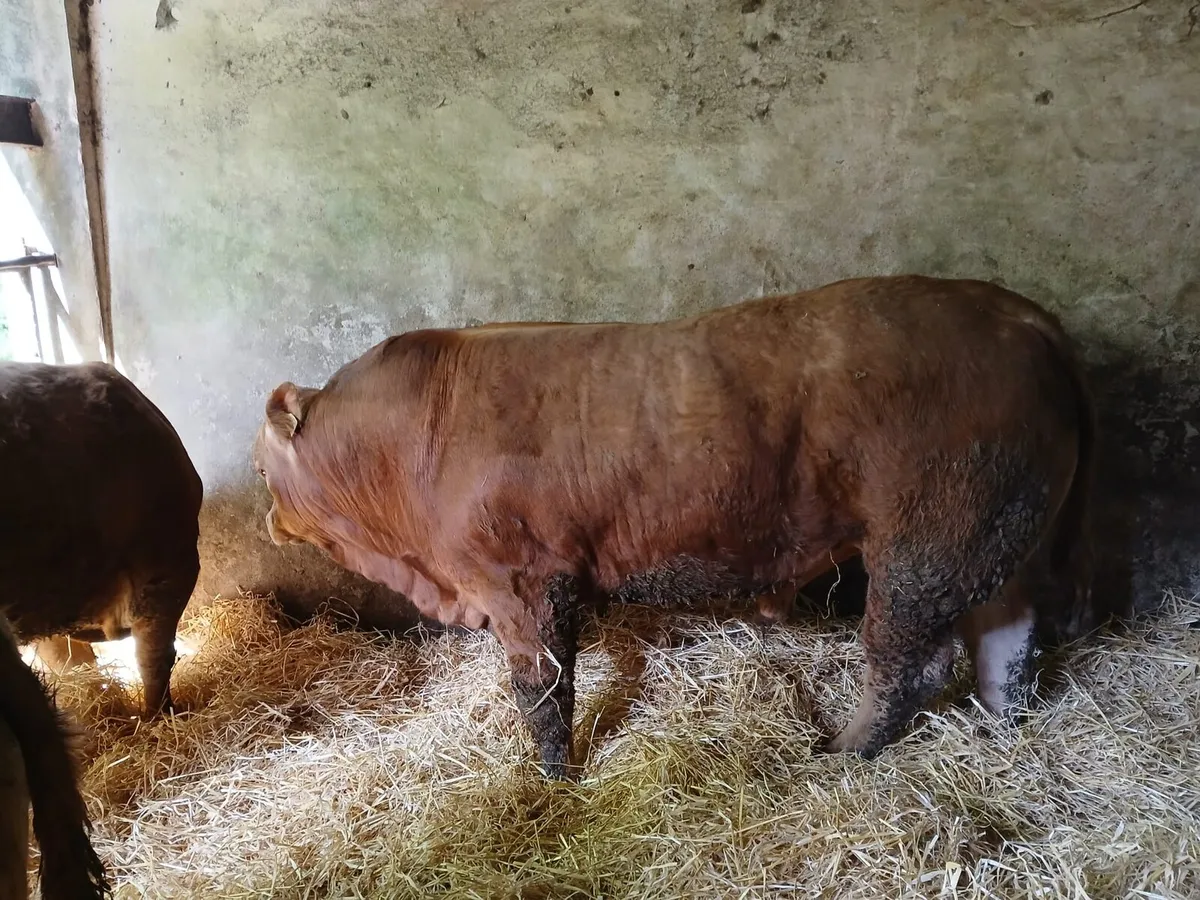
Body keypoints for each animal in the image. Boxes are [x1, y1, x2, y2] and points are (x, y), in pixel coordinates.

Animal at [253, 274, 1095, 779]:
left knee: (909, 661)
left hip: (929, 538)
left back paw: (841, 750)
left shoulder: (522, 582)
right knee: (1009, 636)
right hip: (1002, 534)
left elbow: (542, 692)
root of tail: (1023, 317)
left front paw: (554, 778)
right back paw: (997, 726)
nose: (267, 520)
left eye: (261, 468)